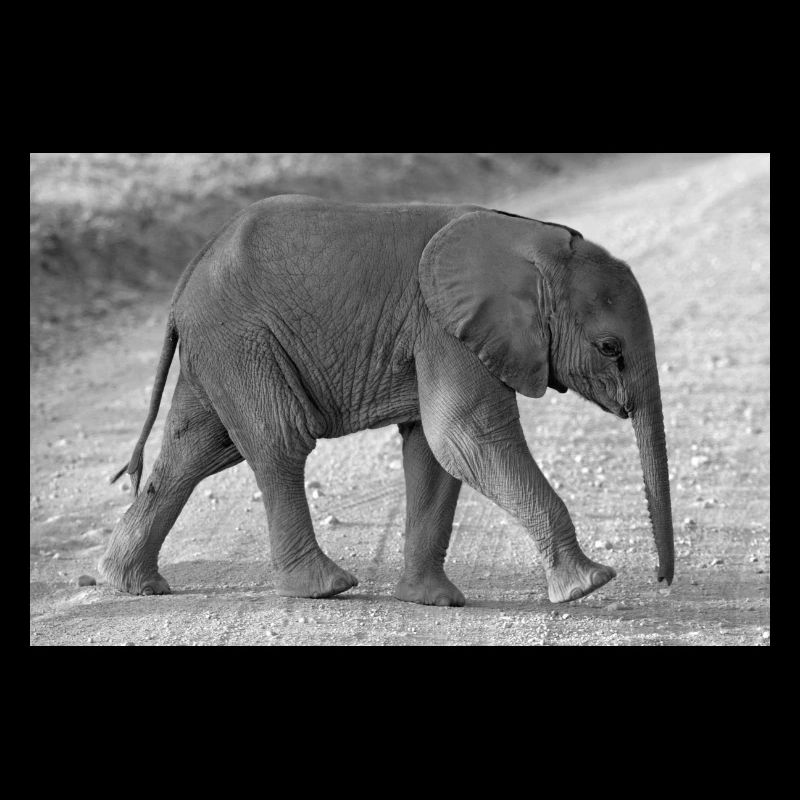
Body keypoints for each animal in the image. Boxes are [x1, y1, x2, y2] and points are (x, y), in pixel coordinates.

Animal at [99, 194, 674, 606]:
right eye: (610, 348)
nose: (662, 581)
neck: (530, 239)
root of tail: (188, 277)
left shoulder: (442, 332)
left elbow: (435, 452)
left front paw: (433, 602)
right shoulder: (442, 326)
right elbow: (465, 436)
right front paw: (590, 584)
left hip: (220, 346)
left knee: (195, 451)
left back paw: (133, 584)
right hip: (242, 339)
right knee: (278, 442)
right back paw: (325, 588)